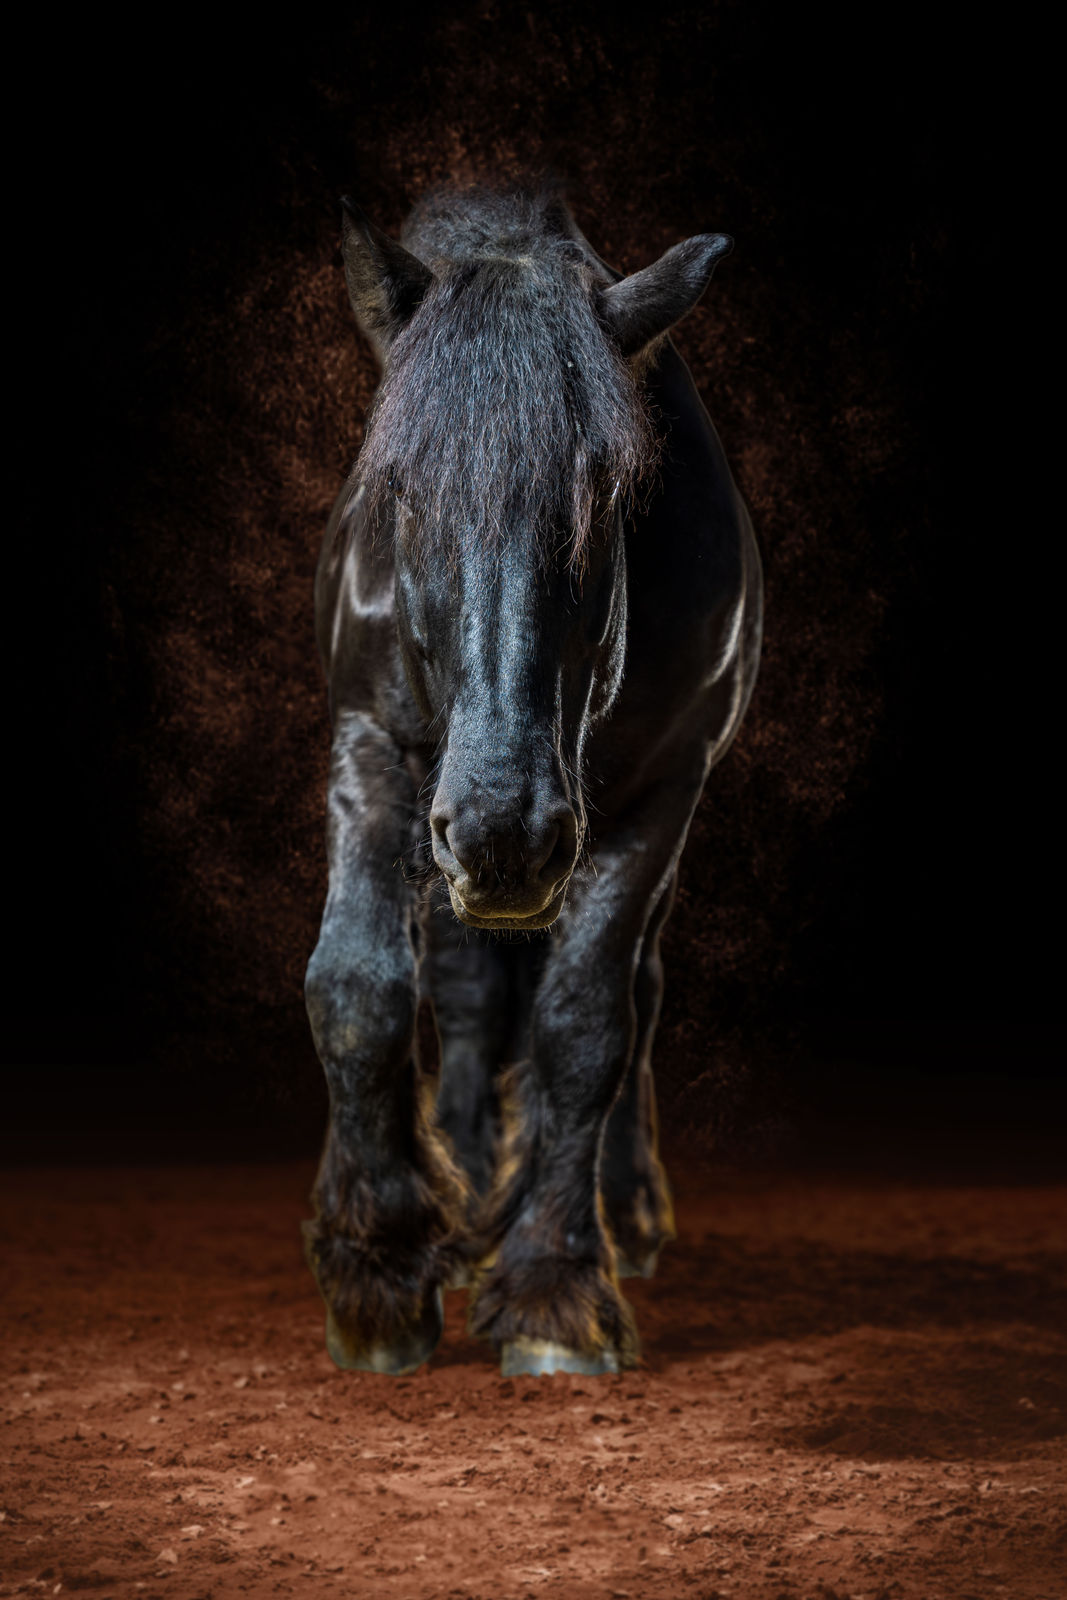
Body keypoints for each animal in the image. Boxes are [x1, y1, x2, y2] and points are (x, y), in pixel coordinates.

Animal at [303, 184, 762, 1378]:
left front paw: (556, 1284)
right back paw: (464, 1207)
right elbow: (359, 988)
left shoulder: (657, 793)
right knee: (465, 990)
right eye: (401, 488)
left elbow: (585, 1019)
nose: (505, 830)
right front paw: (380, 1270)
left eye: (606, 489)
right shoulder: (374, 747)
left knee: (635, 991)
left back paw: (623, 1213)